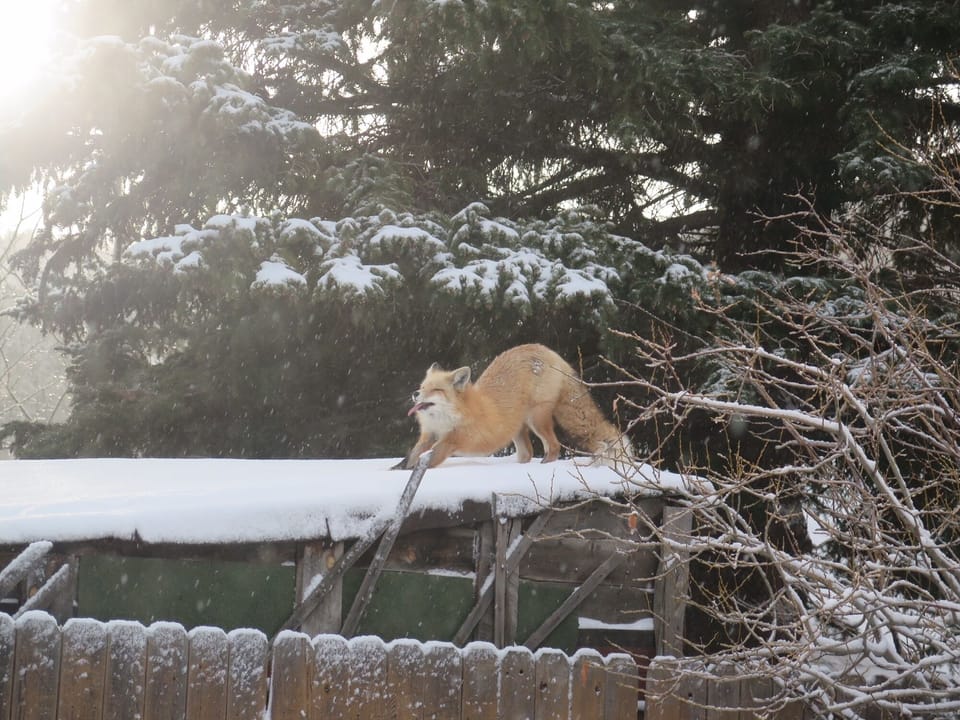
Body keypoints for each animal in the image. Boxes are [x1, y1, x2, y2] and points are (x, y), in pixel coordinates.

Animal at [395, 343, 630, 469]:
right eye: (422, 387)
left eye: (436, 390)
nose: (415, 394)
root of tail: (550, 352)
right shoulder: (430, 435)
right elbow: (412, 454)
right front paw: (399, 469)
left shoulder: (454, 439)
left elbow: (431, 457)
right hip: (518, 428)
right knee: (527, 453)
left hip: (537, 420)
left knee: (554, 446)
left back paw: (545, 464)